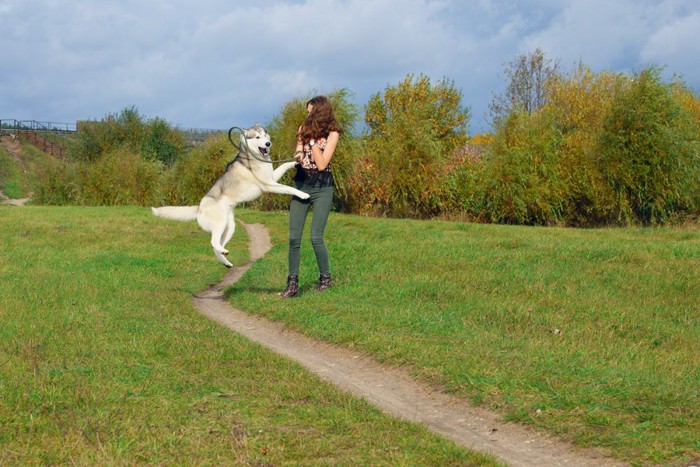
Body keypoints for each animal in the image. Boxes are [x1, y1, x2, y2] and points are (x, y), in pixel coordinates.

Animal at [152, 124, 308, 268]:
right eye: (257, 137)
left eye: (265, 135)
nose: (268, 144)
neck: (252, 157)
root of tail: (199, 208)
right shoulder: (268, 184)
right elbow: (289, 188)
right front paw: (303, 194)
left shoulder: (272, 178)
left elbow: (283, 166)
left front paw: (296, 161)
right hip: (220, 223)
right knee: (213, 242)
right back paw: (224, 253)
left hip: (229, 228)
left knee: (216, 246)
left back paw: (225, 261)